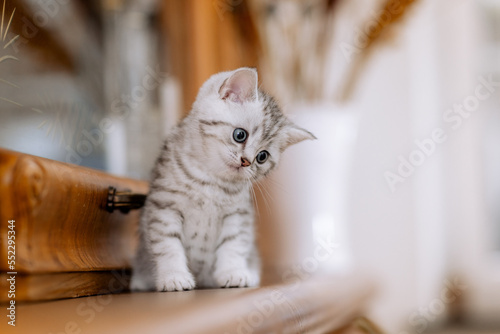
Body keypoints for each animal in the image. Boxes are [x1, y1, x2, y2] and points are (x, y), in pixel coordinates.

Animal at [131, 68, 314, 292]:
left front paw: (233, 272)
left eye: (262, 157)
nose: (246, 162)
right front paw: (174, 276)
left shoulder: (238, 215)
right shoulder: (164, 207)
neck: (211, 181)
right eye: (239, 135)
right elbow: (168, 246)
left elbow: (233, 245)